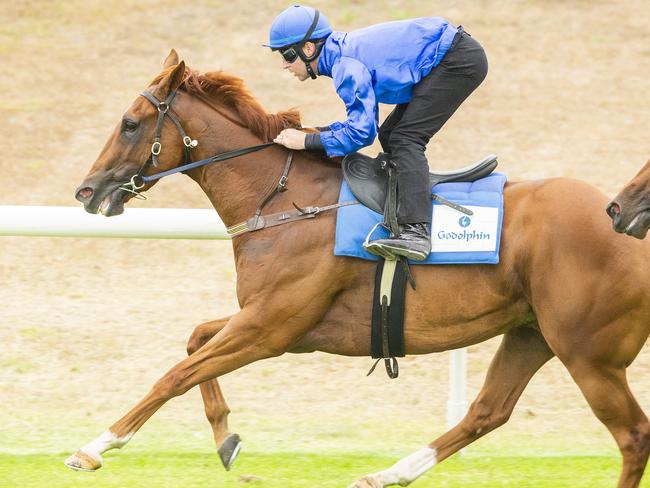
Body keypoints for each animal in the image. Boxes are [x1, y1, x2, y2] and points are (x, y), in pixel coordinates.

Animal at [67, 51, 648, 486]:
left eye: (129, 124)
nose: (86, 192)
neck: (286, 200)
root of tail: (624, 226)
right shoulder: (275, 323)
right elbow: (194, 343)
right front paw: (226, 438)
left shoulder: (269, 328)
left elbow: (175, 375)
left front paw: (95, 445)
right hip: (534, 332)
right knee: (487, 411)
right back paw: (385, 475)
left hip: (588, 353)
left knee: (632, 437)